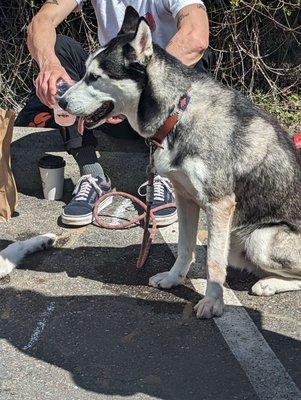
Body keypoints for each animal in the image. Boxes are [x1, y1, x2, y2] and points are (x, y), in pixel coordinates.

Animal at [59, 7, 300, 318]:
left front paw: (213, 301)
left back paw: (268, 284)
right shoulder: (185, 198)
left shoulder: (219, 205)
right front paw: (174, 278)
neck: (178, 111)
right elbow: (186, 247)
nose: (60, 101)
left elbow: (213, 262)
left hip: (259, 240)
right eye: (86, 73)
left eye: (94, 76)